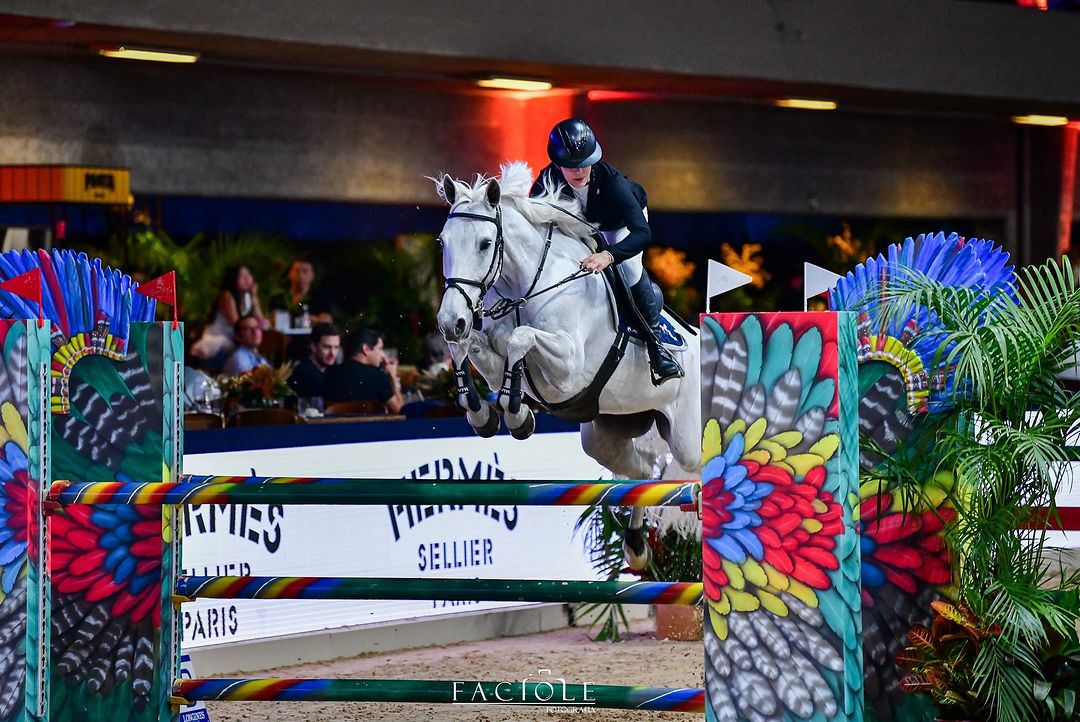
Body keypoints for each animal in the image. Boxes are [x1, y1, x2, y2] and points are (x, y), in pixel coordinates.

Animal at [434, 160, 704, 565]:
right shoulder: (494, 357)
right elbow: (472, 349)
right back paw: (636, 544)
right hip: (606, 435)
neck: (526, 286)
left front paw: (517, 415)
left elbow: (519, 338)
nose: (451, 320)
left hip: (688, 439)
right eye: (443, 241)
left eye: (485, 243)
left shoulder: (570, 370)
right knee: (645, 473)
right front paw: (484, 414)